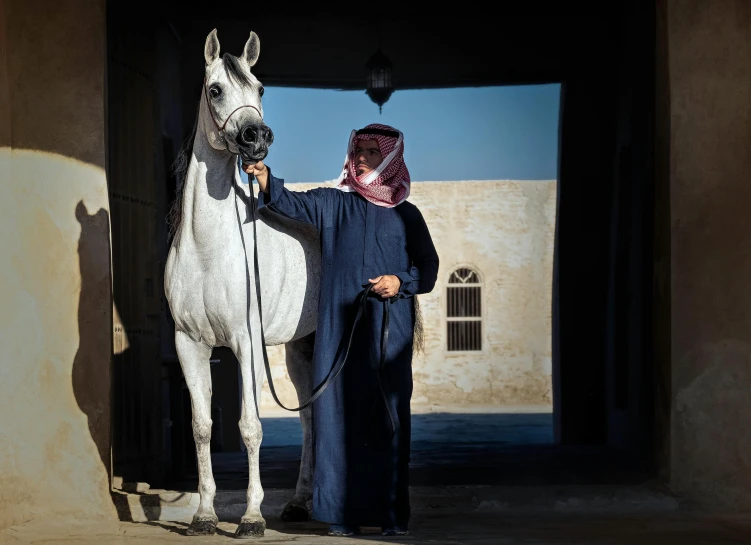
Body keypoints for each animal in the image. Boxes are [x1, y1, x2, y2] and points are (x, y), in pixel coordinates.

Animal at [163, 28, 318, 536]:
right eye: (215, 89)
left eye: (261, 88)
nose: (257, 138)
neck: (208, 250)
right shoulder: (189, 344)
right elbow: (202, 427)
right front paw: (204, 515)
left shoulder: (246, 343)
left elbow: (251, 426)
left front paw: (251, 517)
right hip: (301, 348)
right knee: (310, 418)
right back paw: (300, 504)